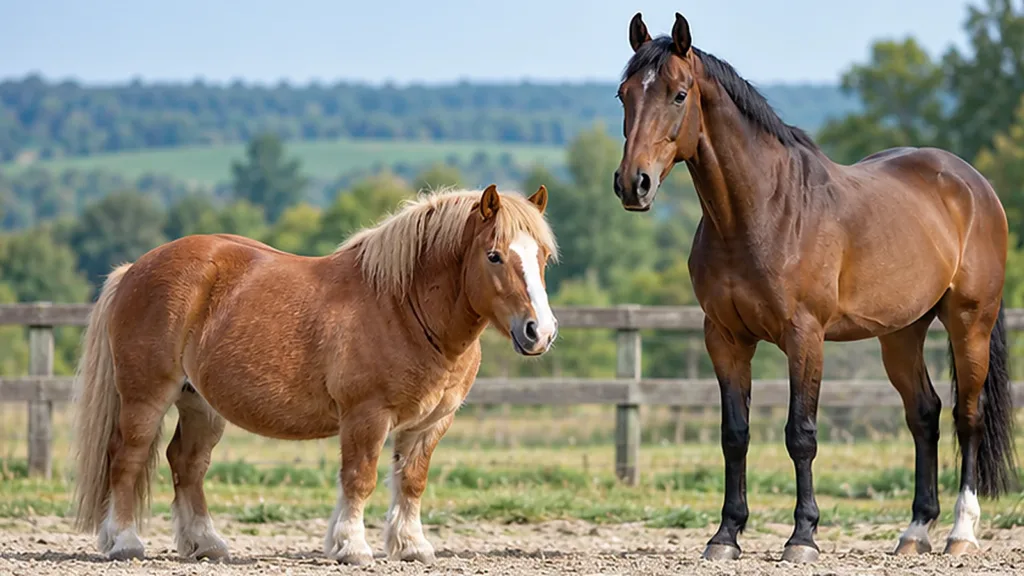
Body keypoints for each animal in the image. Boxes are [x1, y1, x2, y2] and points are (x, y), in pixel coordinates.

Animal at [69, 184, 559, 565]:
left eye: (544, 257)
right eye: (494, 256)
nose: (540, 331)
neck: (403, 308)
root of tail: (134, 269)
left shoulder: (430, 424)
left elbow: (411, 481)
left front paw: (410, 546)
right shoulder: (366, 416)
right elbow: (359, 478)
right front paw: (352, 547)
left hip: (200, 403)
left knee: (187, 463)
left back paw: (205, 543)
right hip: (146, 396)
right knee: (127, 456)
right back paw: (124, 542)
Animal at [612, 12, 1017, 563]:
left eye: (678, 94)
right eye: (624, 94)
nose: (633, 184)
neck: (760, 213)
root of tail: (971, 183)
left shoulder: (804, 337)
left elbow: (800, 434)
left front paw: (802, 536)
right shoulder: (724, 338)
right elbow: (734, 434)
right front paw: (726, 535)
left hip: (969, 321)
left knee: (968, 417)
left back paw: (961, 531)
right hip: (901, 333)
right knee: (924, 415)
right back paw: (915, 531)